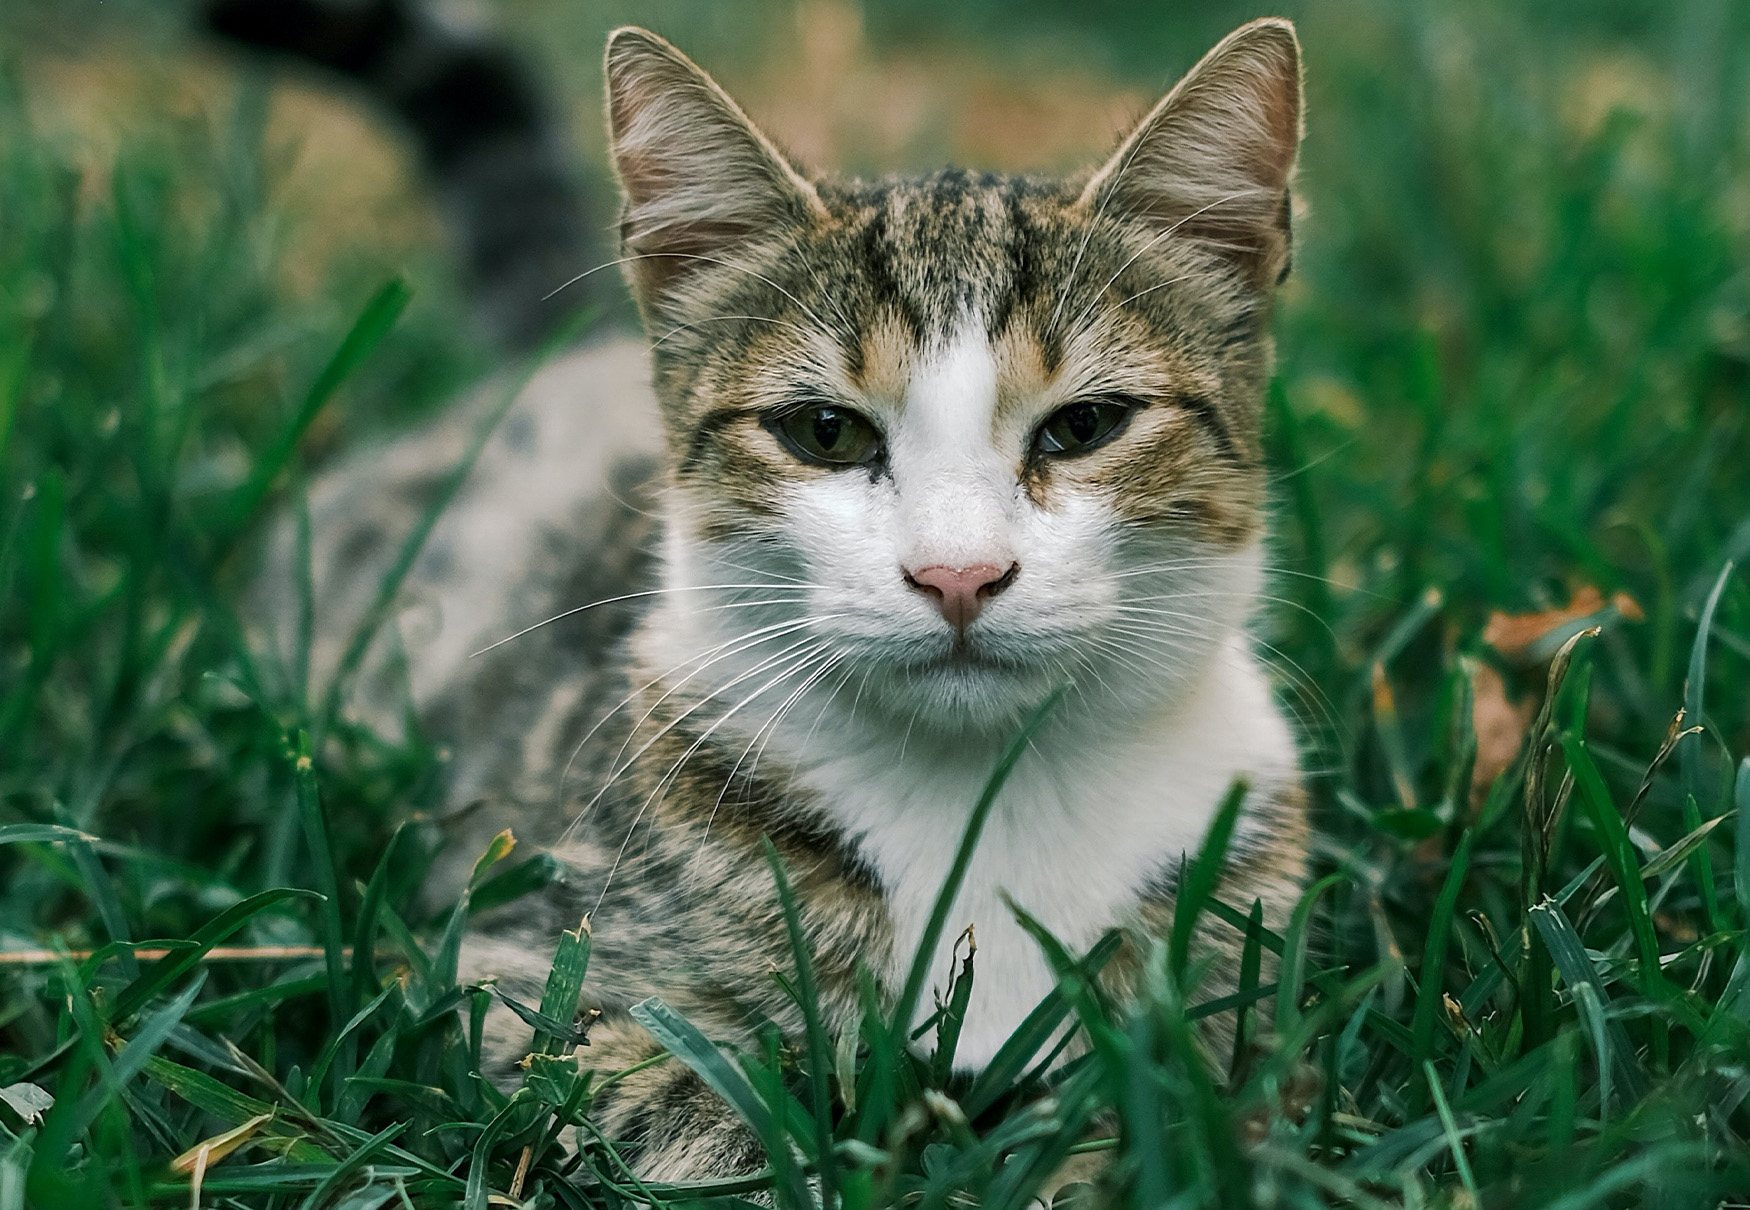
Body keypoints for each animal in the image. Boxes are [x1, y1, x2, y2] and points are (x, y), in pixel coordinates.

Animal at [255, 9, 1302, 1183]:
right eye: (824, 432)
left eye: (1085, 426)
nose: (958, 574)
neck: (983, 793)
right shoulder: (506, 973)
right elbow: (687, 1110)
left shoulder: (1238, 974)